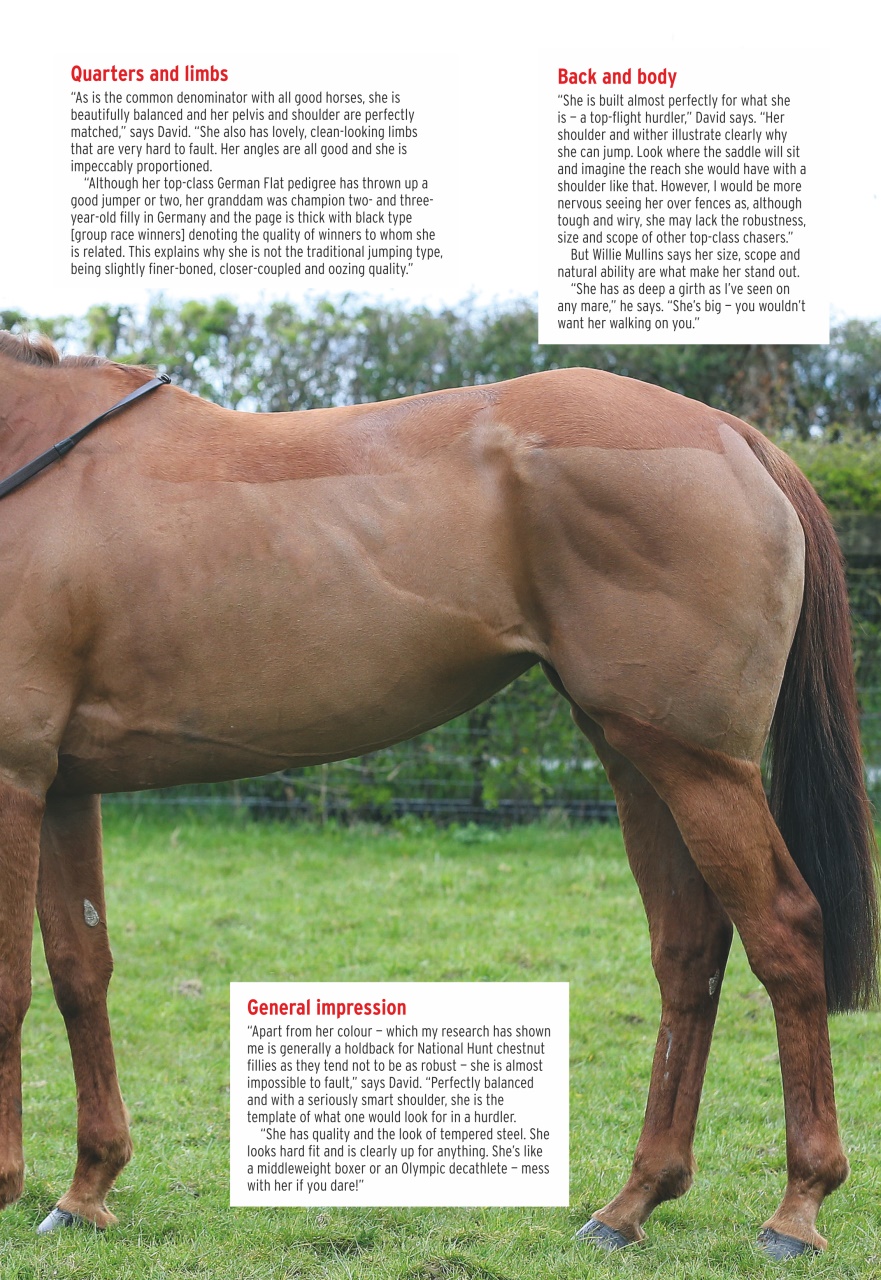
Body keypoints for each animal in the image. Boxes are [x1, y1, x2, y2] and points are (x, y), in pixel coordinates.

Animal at [0, 330, 875, 1257]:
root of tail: (732, 437)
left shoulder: (14, 778)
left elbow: (11, 983)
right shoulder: (61, 787)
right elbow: (78, 971)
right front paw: (87, 1189)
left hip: (700, 766)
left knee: (784, 930)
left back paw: (797, 1207)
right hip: (638, 757)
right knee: (688, 948)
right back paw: (633, 1201)